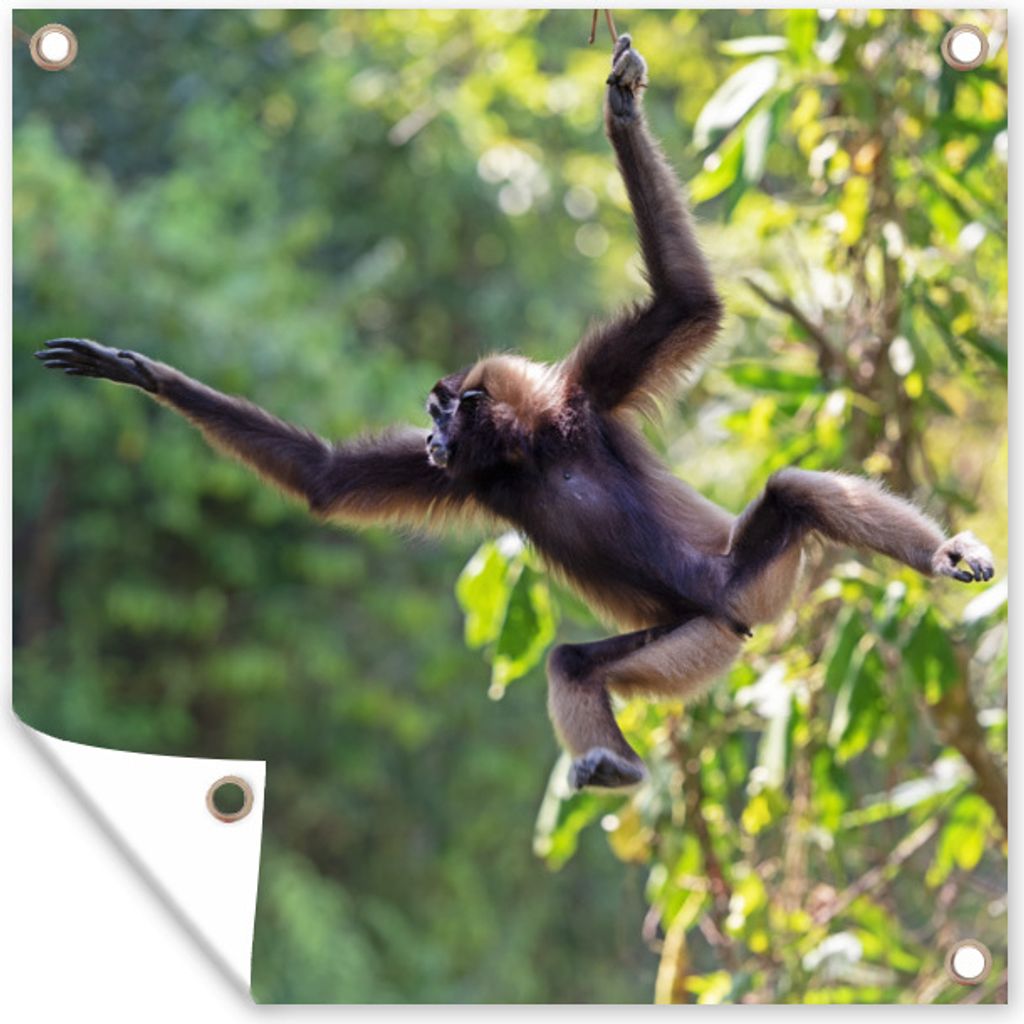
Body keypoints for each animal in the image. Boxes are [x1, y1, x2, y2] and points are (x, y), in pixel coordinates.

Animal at [36, 35, 994, 791]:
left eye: (437, 413)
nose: (430, 438)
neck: (529, 451)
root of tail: (733, 612)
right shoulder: (476, 478)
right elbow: (326, 482)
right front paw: (137, 372)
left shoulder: (585, 401)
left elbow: (688, 305)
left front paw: (621, 113)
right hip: (693, 638)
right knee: (575, 660)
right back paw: (615, 766)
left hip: (741, 582)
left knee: (791, 494)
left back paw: (940, 555)